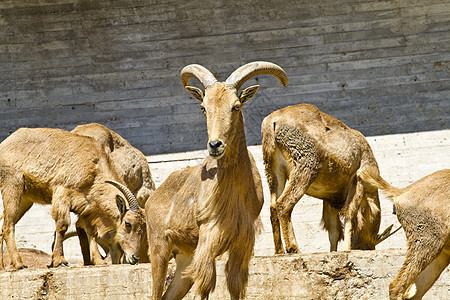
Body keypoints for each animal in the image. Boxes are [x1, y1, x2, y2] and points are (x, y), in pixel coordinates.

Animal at [146, 61, 288, 300]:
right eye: (203, 107)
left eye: (236, 106)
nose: (215, 145)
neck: (234, 190)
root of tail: (153, 196)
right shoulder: (208, 237)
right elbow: (206, 285)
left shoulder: (242, 241)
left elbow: (235, 284)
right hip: (159, 249)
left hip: (184, 259)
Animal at [262, 103, 382, 253]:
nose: (368, 247)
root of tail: (273, 122)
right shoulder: (358, 181)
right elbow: (350, 216)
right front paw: (347, 249)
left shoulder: (329, 198)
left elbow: (334, 231)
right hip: (305, 166)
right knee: (284, 204)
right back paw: (293, 248)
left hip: (272, 169)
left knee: (273, 205)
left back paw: (279, 251)